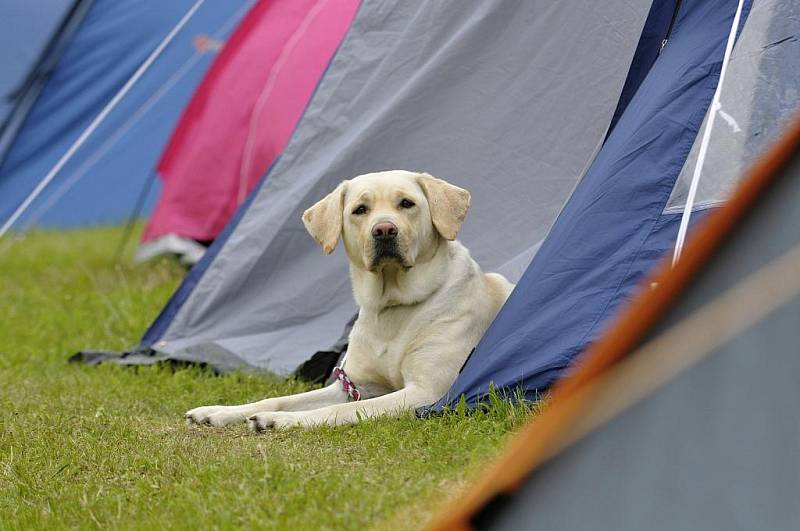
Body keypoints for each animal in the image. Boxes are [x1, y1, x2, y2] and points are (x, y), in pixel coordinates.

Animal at [184, 171, 512, 432]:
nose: (384, 230)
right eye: (360, 210)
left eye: (407, 203)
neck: (392, 306)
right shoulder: (354, 384)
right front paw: (221, 411)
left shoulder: (427, 392)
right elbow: (279, 399)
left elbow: (341, 409)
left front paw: (284, 420)